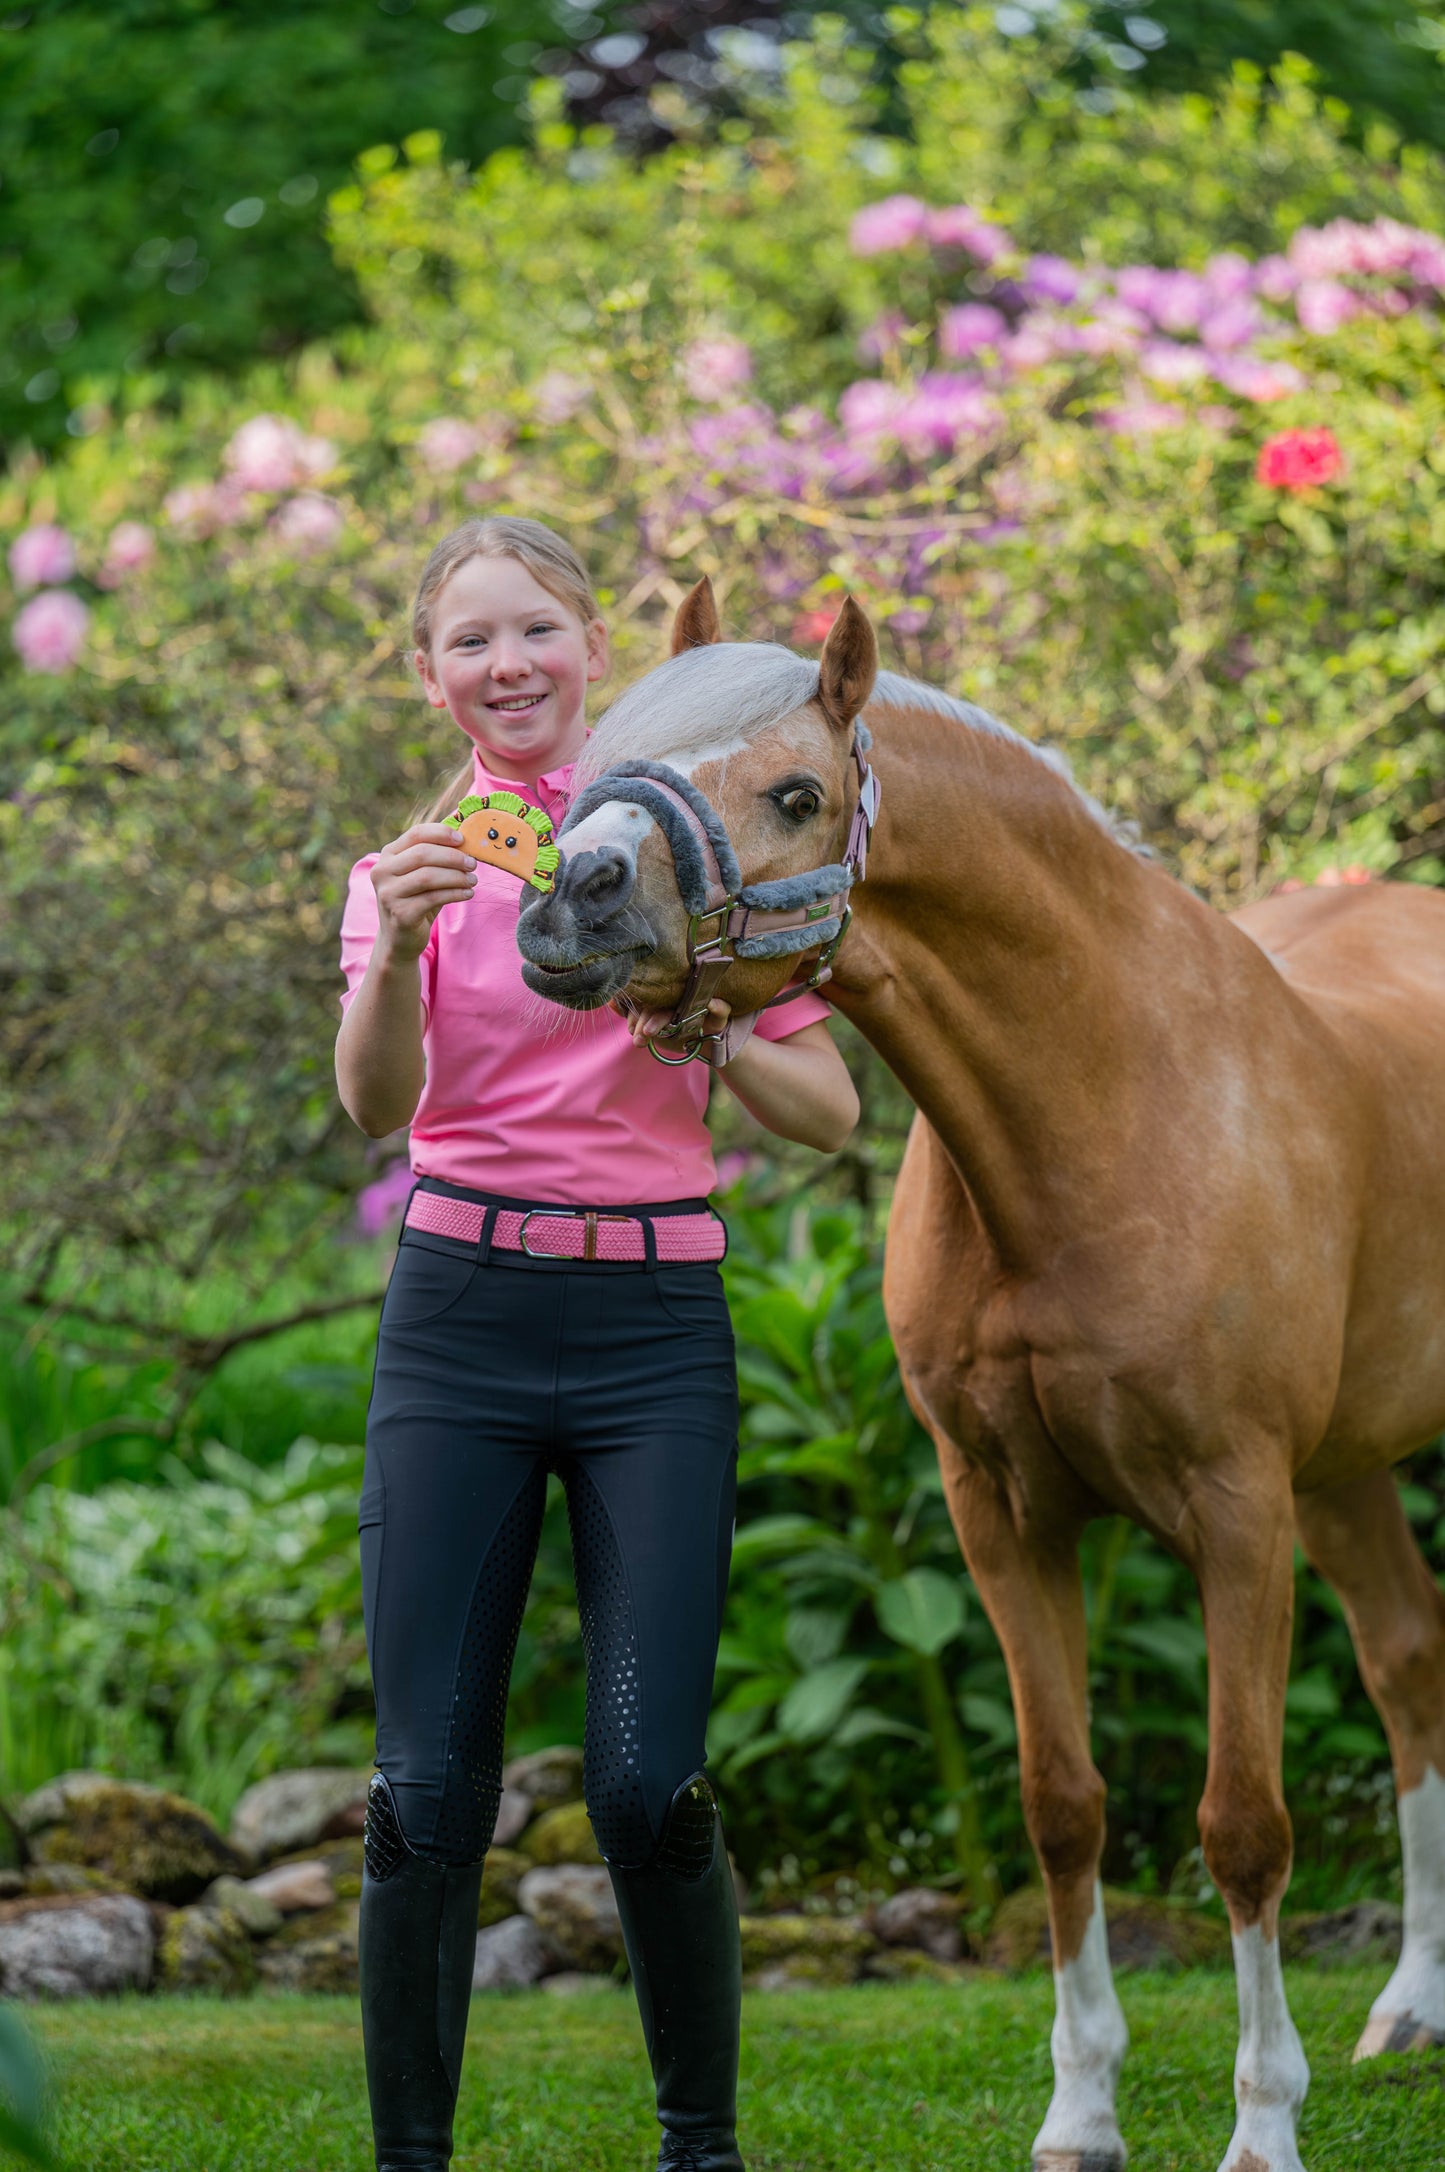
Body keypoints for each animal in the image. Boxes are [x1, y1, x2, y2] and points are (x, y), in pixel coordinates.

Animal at [515, 578, 1445, 2172]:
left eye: (795, 793)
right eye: (596, 763)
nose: (571, 900)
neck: (1106, 1102)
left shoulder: (1236, 1512)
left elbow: (1243, 1824)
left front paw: (1263, 2126)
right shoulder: (1000, 1510)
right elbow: (1058, 1805)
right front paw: (1080, 2113)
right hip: (1346, 1472)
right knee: (1406, 1659)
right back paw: (1409, 2008)